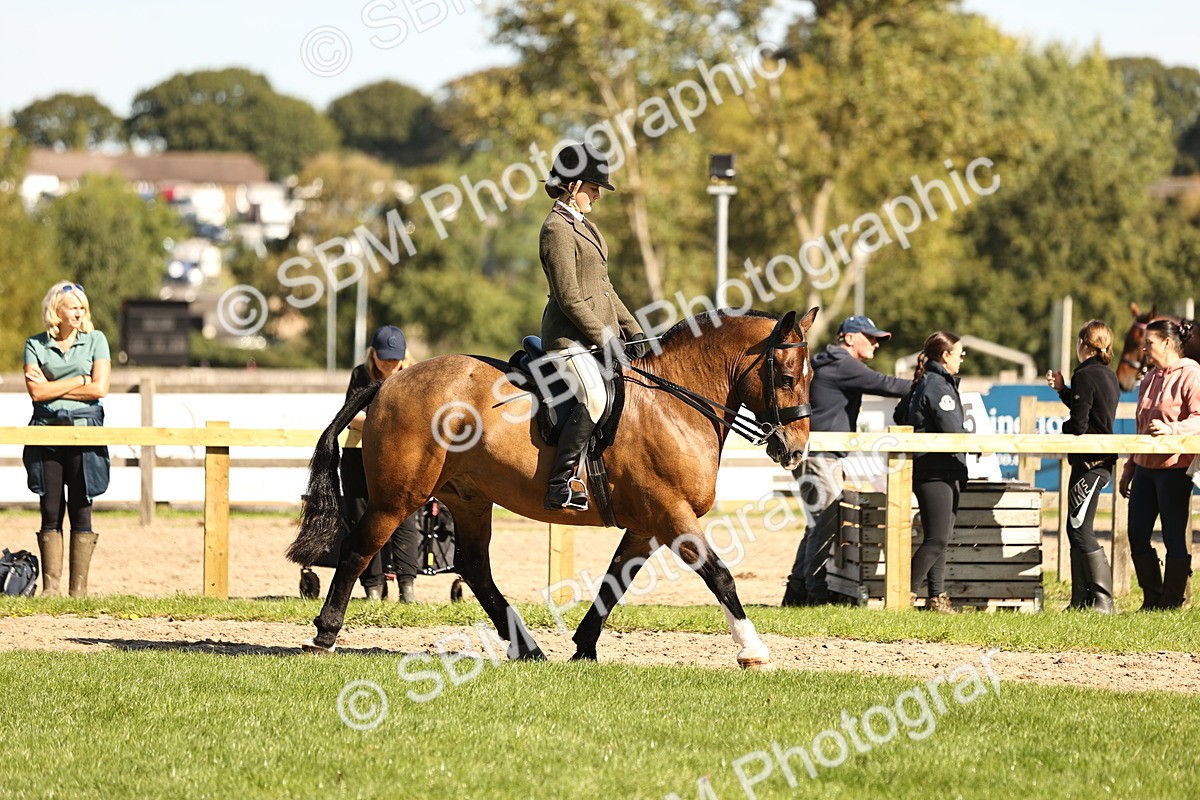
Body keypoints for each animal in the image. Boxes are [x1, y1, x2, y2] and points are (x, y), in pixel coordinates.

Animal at [287, 308, 818, 668]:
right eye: (787, 376)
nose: (794, 450)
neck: (675, 403)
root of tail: (389, 383)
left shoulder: (647, 525)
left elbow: (614, 582)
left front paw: (584, 647)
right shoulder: (672, 514)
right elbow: (720, 575)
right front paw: (752, 650)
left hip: (469, 499)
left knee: (474, 568)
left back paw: (528, 647)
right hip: (399, 498)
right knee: (359, 550)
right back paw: (325, 635)